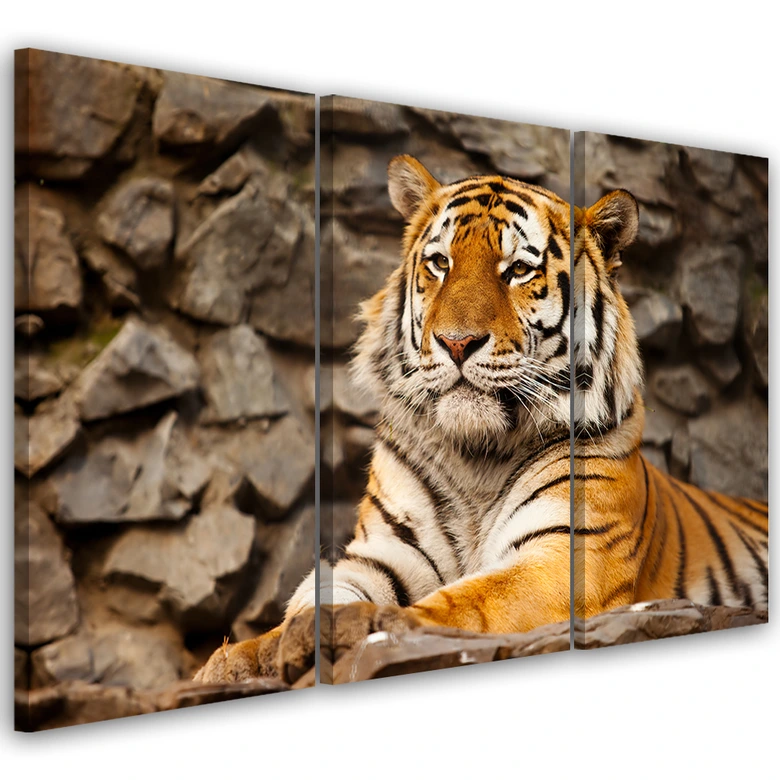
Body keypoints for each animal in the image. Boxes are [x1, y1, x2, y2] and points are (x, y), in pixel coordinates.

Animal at [194, 154, 768, 685]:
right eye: (440, 263)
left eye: (517, 270)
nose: (456, 342)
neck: (477, 452)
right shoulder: (384, 551)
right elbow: (316, 596)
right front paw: (243, 657)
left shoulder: (568, 552)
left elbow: (461, 602)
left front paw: (365, 631)